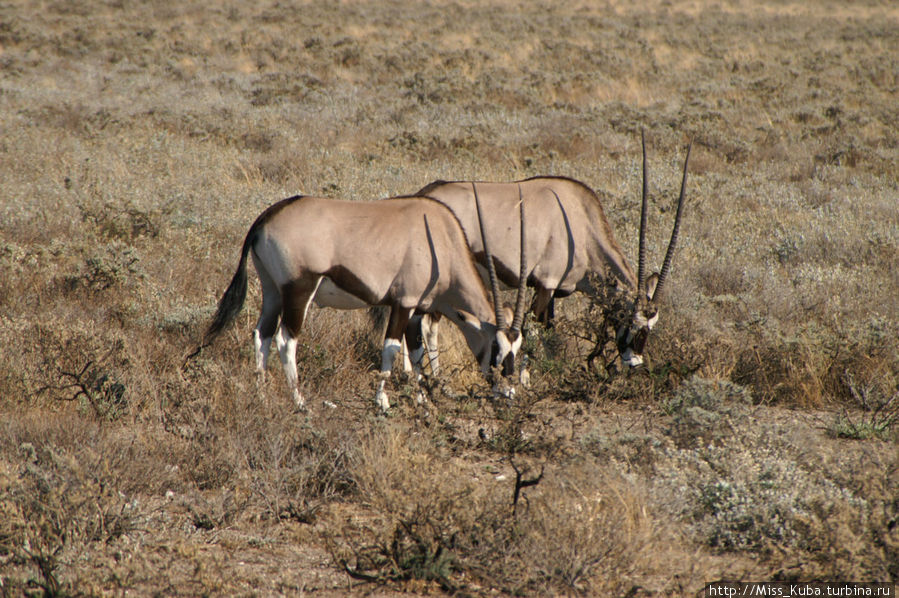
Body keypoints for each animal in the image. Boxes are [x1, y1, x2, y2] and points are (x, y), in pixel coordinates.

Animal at [199, 192, 528, 412]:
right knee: (285, 340)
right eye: (496, 347)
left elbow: (417, 353)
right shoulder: (403, 303)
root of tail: (265, 218)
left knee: (262, 334)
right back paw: (300, 403)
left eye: (518, 348)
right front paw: (382, 401)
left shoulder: (417, 310)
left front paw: (422, 400)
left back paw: (262, 394)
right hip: (299, 290)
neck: (441, 239)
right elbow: (392, 349)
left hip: (272, 291)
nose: (508, 393)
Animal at [412, 134, 692, 372]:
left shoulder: (553, 291)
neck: (582, 226)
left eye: (652, 325)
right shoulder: (545, 284)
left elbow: (546, 335)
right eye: (629, 319)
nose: (634, 363)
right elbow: (540, 334)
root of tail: (425, 195)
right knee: (427, 327)